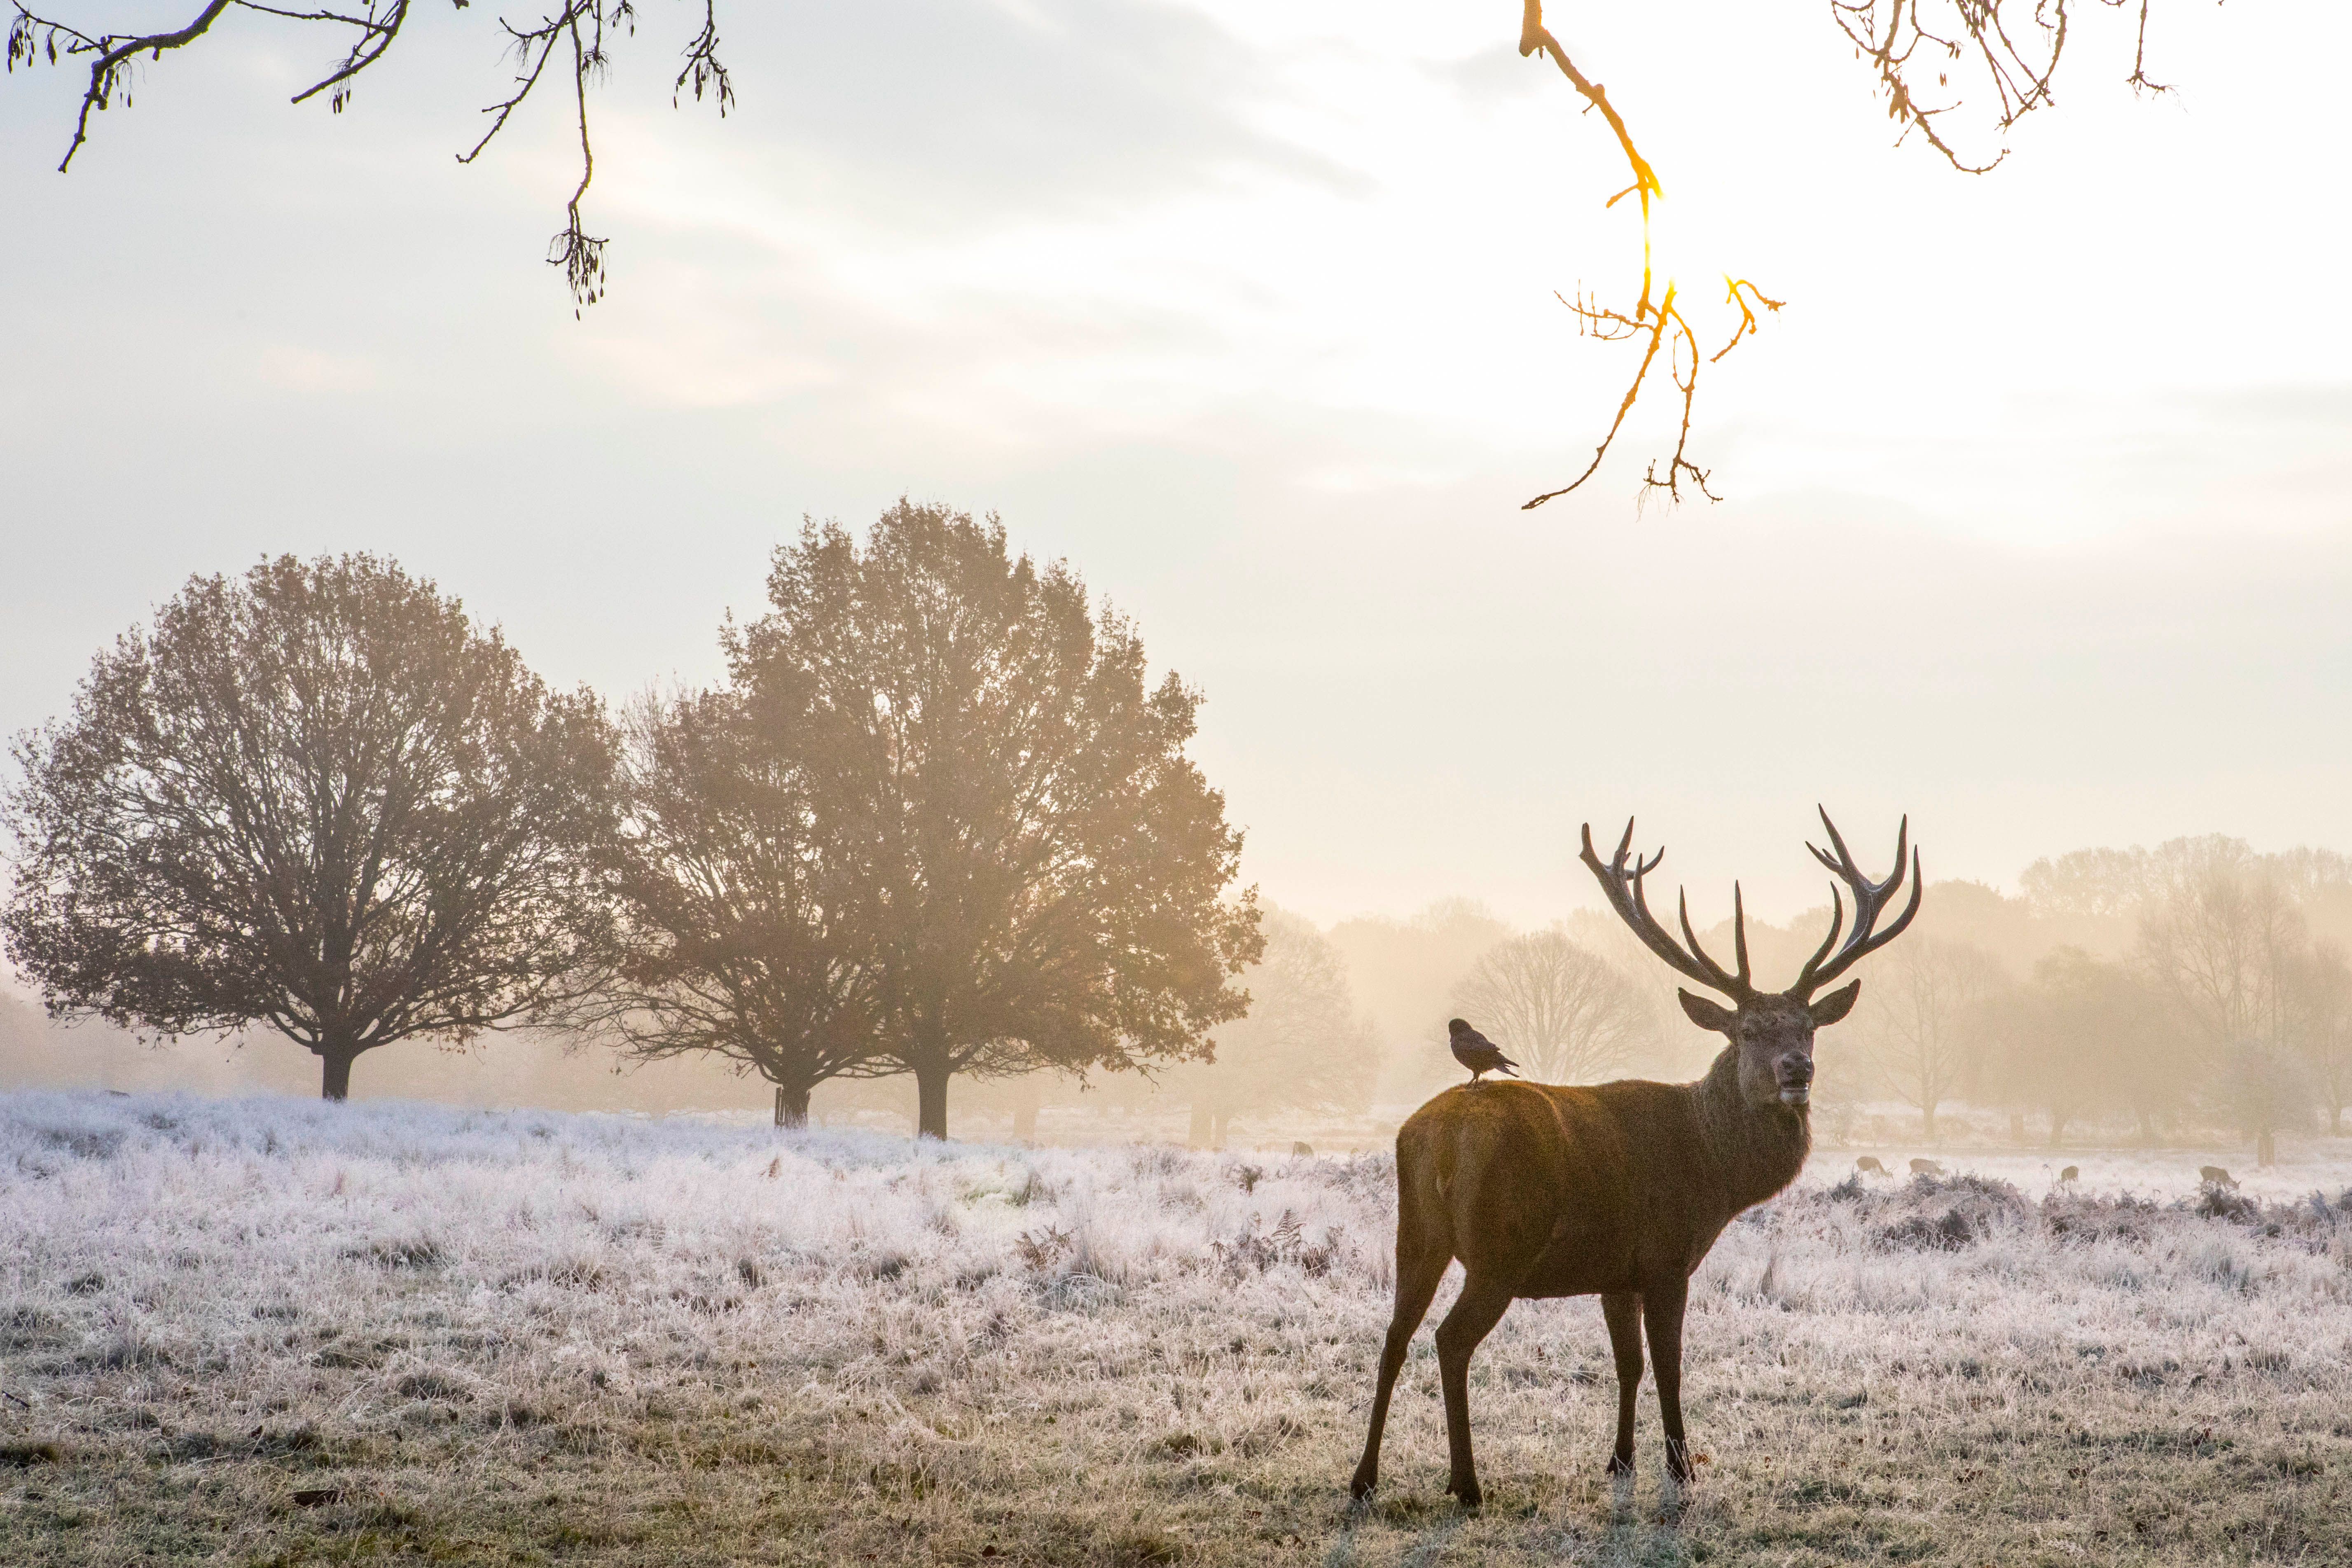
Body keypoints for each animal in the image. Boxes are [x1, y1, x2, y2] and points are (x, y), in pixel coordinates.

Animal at [1354, 809, 1919, 1504]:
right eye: (1747, 1031)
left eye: (1809, 1027)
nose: (1797, 1070)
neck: (1713, 1173)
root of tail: (1430, 1137)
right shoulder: (1665, 1256)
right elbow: (1669, 1364)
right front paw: (1680, 1468)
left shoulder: (1614, 1271)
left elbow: (1628, 1362)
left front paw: (1619, 1459)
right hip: (1499, 1247)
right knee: (1448, 1338)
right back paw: (1466, 1482)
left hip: (1416, 1234)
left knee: (1393, 1335)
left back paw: (1364, 1477)